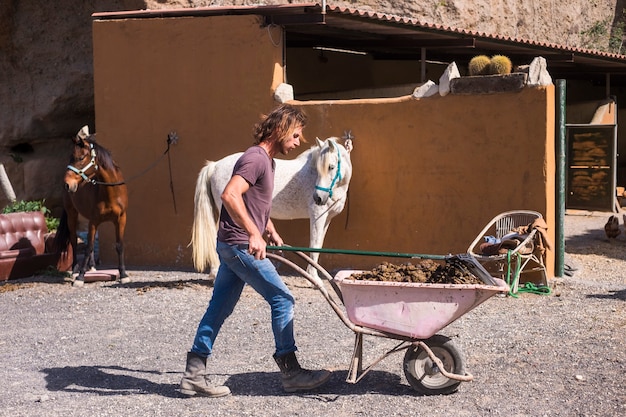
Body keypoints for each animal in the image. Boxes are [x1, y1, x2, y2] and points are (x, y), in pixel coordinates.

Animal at [55, 125, 129, 284]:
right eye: (70, 157)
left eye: (81, 157)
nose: (67, 184)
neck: (111, 191)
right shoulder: (94, 221)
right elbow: (88, 247)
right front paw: (80, 276)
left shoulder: (121, 219)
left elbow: (119, 245)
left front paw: (123, 274)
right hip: (72, 214)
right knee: (73, 239)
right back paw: (75, 270)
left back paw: (92, 267)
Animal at [191, 136, 352, 282]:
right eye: (322, 168)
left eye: (331, 167)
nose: (318, 198)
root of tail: (215, 165)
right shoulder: (317, 217)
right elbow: (315, 245)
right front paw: (313, 278)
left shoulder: (326, 218)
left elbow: (319, 246)